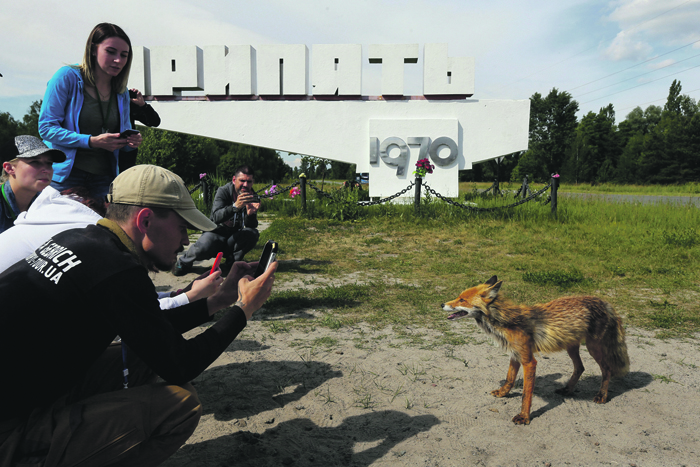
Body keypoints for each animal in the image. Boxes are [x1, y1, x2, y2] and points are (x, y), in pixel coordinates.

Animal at [442, 276, 636, 426]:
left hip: (593, 347)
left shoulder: (529, 361)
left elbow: (526, 394)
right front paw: (503, 393)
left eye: (462, 300)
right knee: (580, 367)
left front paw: (524, 417)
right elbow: (509, 378)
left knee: (607, 369)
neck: (506, 321)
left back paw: (601, 395)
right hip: (571, 346)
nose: (442, 304)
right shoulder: (515, 354)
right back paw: (567, 389)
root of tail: (603, 301)